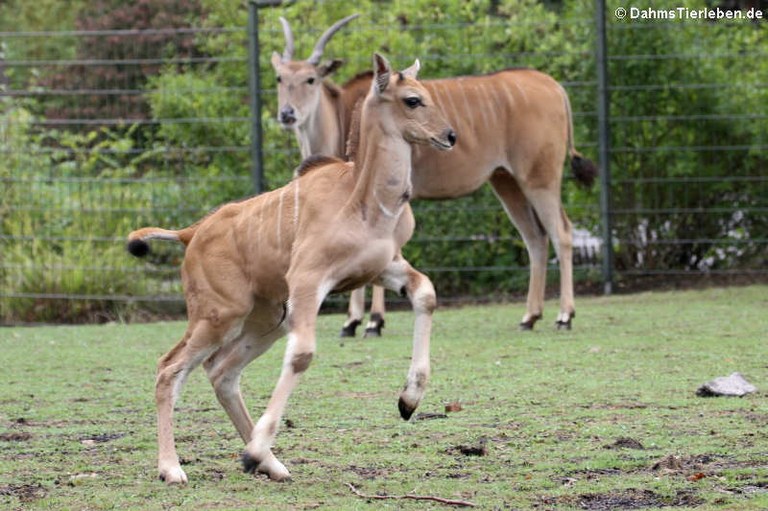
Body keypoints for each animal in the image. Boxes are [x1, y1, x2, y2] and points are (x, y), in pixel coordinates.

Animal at [124, 54, 450, 486]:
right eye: (413, 99)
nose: (450, 135)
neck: (362, 198)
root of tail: (190, 233)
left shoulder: (381, 269)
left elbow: (426, 294)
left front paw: (409, 400)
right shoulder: (308, 280)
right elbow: (303, 355)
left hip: (268, 320)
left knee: (221, 372)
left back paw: (268, 462)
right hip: (219, 316)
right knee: (169, 369)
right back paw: (173, 468)